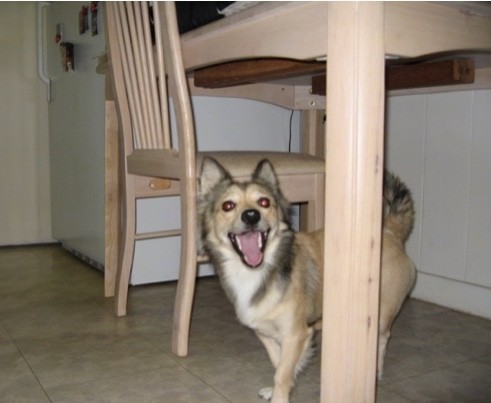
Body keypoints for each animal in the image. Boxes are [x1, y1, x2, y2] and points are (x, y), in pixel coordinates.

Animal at [198, 159, 418, 403]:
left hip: (381, 314)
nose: (251, 216)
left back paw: (376, 371)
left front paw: (280, 397)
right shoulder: (267, 334)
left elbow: (282, 373)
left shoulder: (295, 334)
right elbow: (278, 364)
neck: (259, 271)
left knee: (383, 338)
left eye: (264, 202)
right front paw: (280, 388)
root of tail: (389, 231)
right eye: (228, 206)